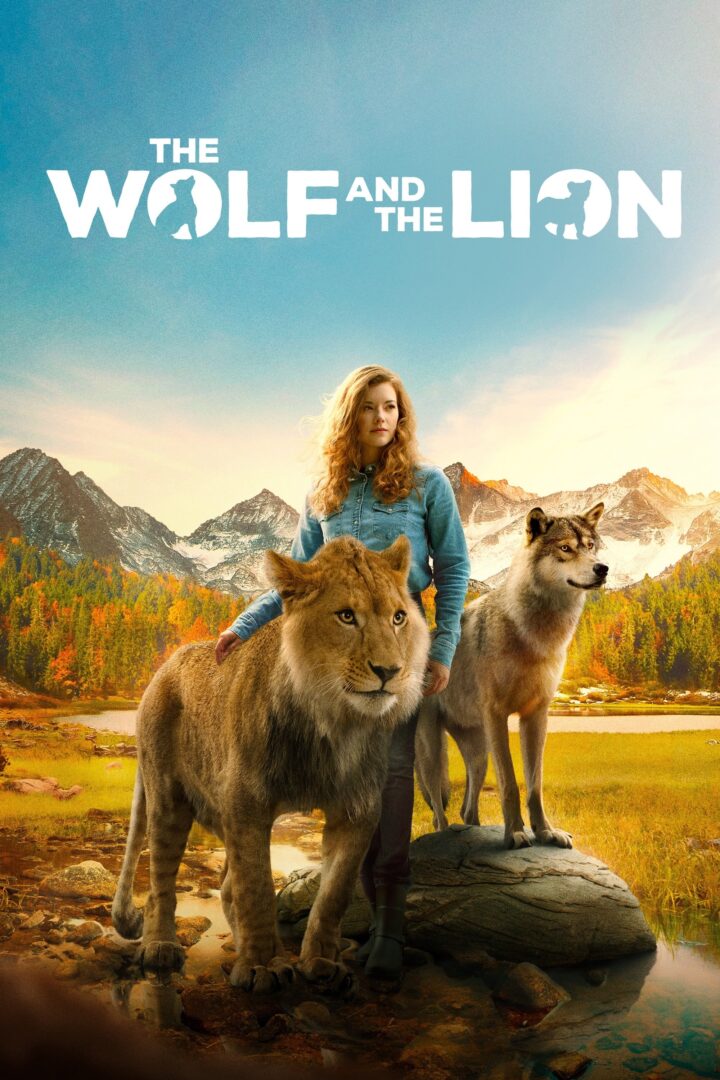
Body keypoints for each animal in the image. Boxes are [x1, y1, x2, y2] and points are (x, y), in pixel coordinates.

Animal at [112, 535, 429, 993]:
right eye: (346, 616)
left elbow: (333, 893)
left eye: (399, 618)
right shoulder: (245, 803)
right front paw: (263, 966)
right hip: (168, 797)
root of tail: (165, 664)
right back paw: (161, 947)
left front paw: (321, 963)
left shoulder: (358, 810)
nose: (390, 670)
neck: (330, 723)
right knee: (161, 881)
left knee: (226, 887)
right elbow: (257, 888)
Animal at [415, 503, 606, 849]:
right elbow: (510, 784)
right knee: (438, 808)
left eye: (590, 546)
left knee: (467, 807)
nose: (603, 569)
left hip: (479, 753)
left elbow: (534, 785)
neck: (536, 635)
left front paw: (545, 832)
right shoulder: (497, 715)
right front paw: (515, 833)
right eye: (565, 548)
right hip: (434, 753)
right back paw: (445, 834)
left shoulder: (536, 716)